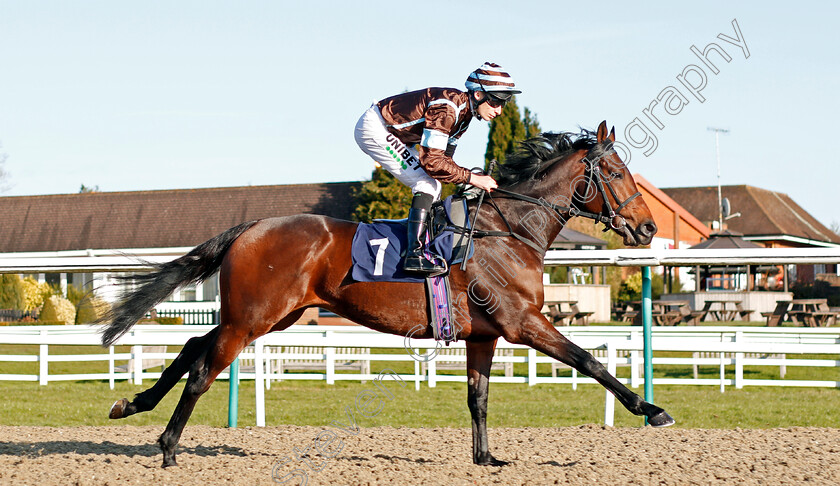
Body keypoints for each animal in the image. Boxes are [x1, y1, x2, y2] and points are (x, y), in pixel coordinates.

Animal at [100, 120, 676, 468]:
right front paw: (651, 409)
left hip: (272, 316)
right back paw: (168, 447)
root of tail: (251, 227)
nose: (648, 229)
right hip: (253, 318)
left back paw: (133, 404)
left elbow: (479, 398)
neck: (509, 231)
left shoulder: (485, 335)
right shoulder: (524, 322)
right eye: (618, 172)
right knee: (202, 368)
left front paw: (485, 458)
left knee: (193, 344)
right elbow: (589, 361)